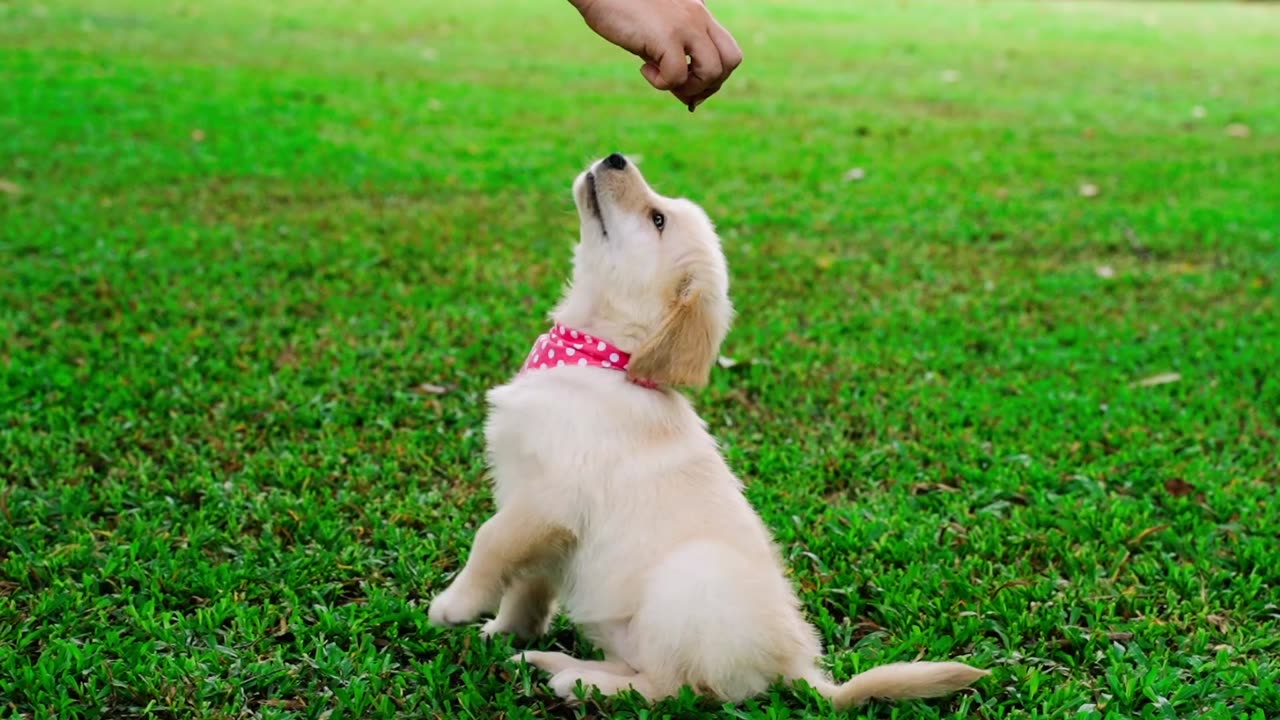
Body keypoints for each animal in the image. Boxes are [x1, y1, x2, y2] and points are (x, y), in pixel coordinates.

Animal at [430, 152, 988, 707]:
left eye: (657, 219)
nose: (616, 157)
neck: (600, 358)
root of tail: (797, 670)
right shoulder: (545, 521)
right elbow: (527, 585)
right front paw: (506, 631)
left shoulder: (549, 499)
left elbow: (490, 540)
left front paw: (455, 605)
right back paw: (552, 662)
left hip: (685, 583)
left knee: (674, 687)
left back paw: (581, 681)